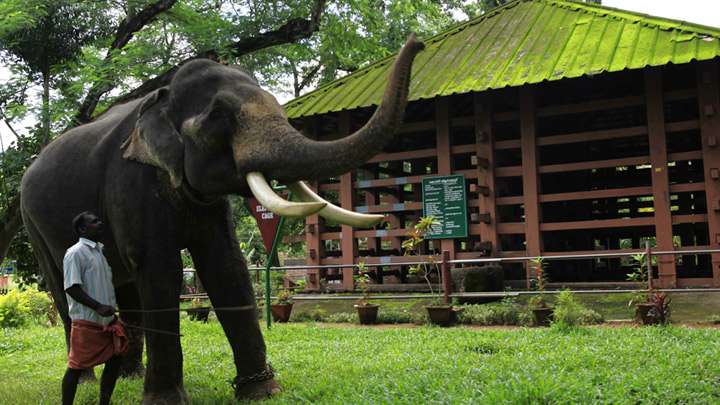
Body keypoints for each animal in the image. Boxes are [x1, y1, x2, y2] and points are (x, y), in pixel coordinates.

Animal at [20, 34, 424, 403]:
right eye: (219, 117)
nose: (417, 42)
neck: (163, 97)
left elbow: (226, 266)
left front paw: (261, 392)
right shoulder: (130, 182)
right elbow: (159, 269)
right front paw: (165, 401)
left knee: (125, 284)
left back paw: (127, 375)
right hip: (32, 223)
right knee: (64, 286)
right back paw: (88, 380)